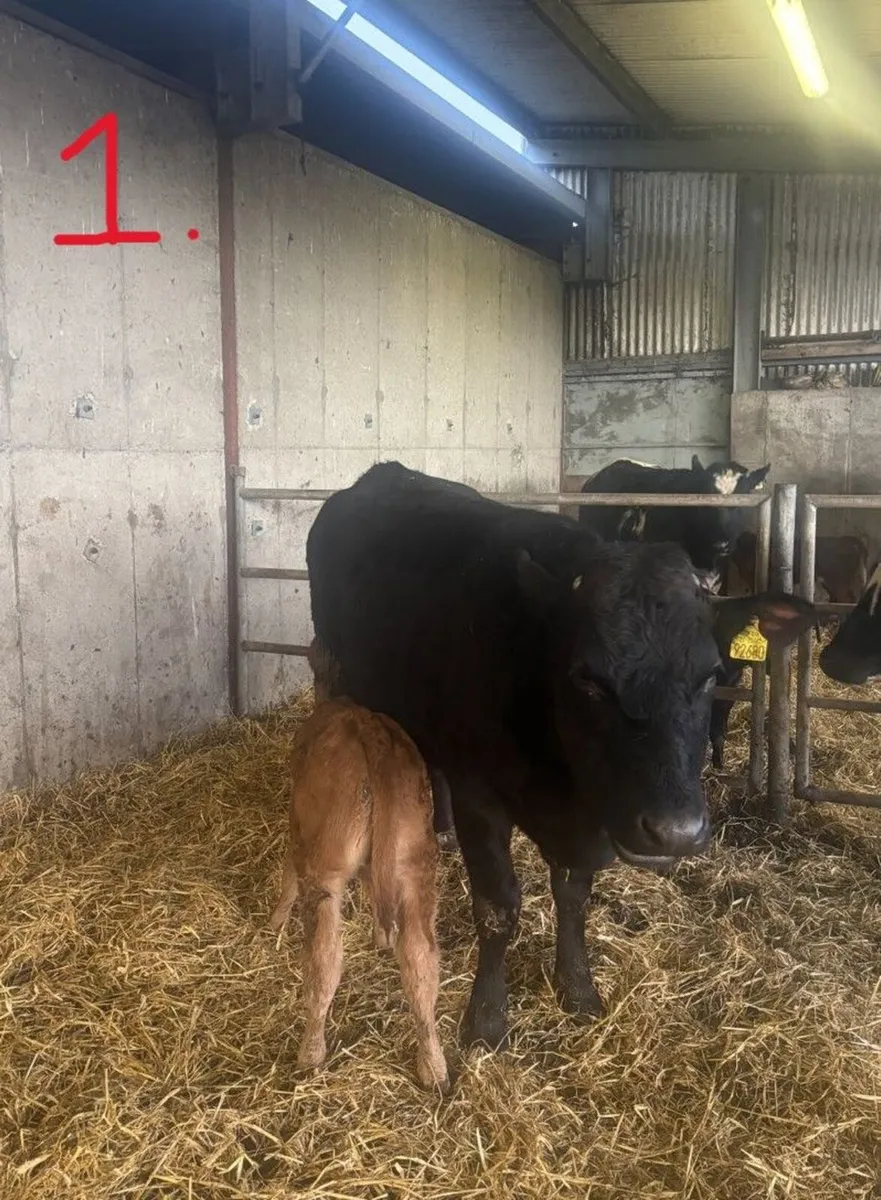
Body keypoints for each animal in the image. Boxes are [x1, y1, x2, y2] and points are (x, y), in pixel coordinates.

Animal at [270, 697, 448, 1091]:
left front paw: (274, 920)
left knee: (324, 960)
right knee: (420, 959)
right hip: (415, 864)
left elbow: (288, 875)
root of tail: (369, 727)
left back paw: (310, 1054)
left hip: (325, 869)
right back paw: (434, 1066)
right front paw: (380, 937)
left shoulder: (297, 829)